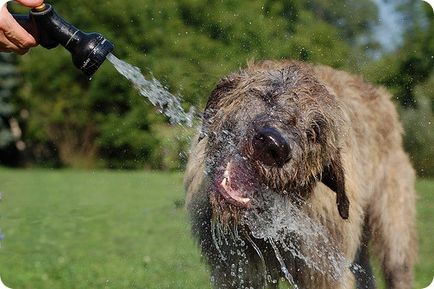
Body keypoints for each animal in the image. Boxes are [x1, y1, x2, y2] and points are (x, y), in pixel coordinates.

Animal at [184, 60, 418, 288]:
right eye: (268, 96)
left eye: (314, 132)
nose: (273, 146)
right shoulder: (236, 272)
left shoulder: (326, 270)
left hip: (394, 228)